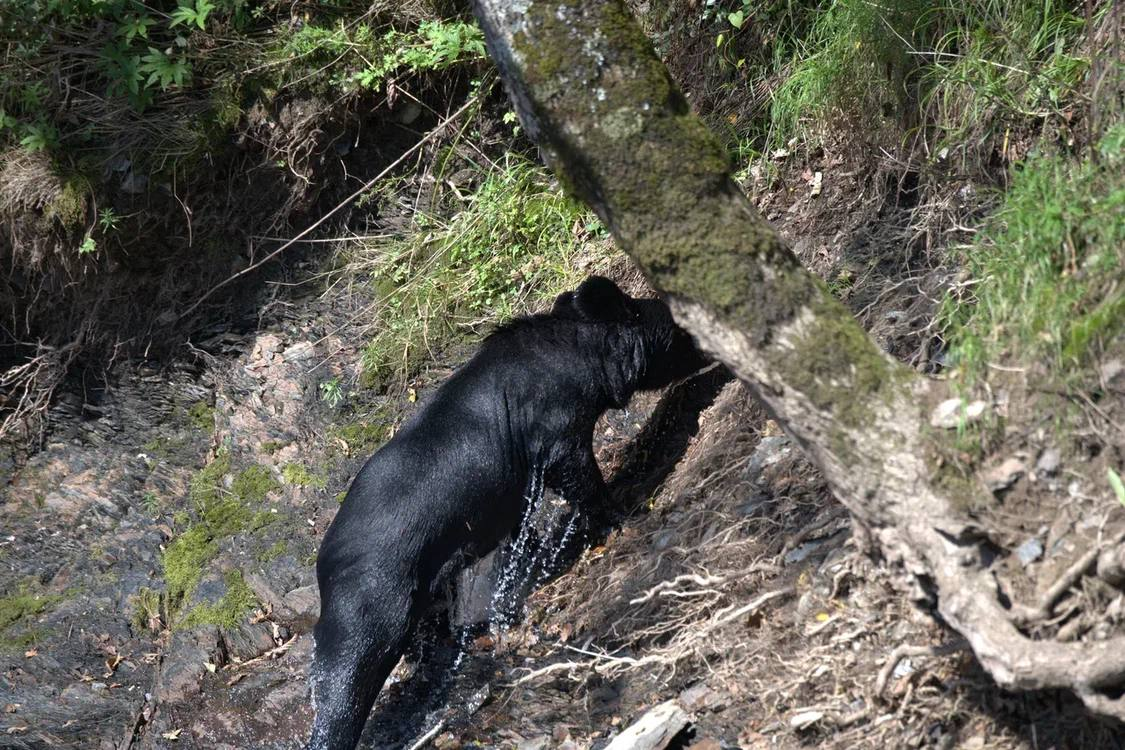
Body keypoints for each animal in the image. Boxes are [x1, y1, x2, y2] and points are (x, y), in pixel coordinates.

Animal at [303, 277, 706, 750]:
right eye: (680, 330)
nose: (712, 352)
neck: (586, 358)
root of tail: (322, 567)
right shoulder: (555, 429)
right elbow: (578, 476)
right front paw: (617, 514)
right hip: (374, 595)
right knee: (350, 668)